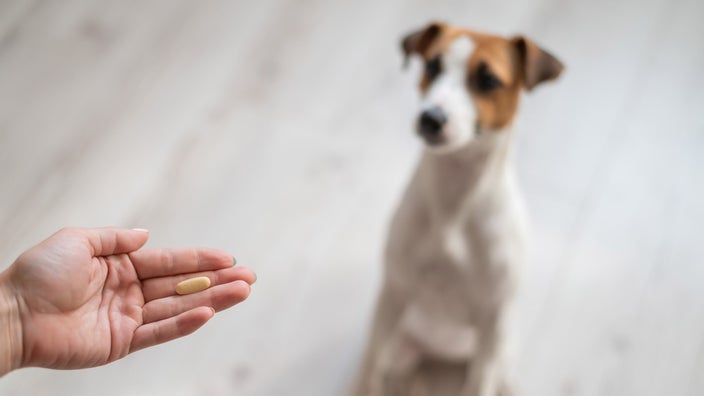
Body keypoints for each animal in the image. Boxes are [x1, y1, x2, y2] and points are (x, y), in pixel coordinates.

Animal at [354, 22, 564, 396]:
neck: (455, 199)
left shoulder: (492, 317)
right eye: (432, 66)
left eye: (489, 80)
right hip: (401, 342)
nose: (431, 118)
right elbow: (371, 366)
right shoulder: (394, 291)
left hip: (500, 348)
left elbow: (480, 384)